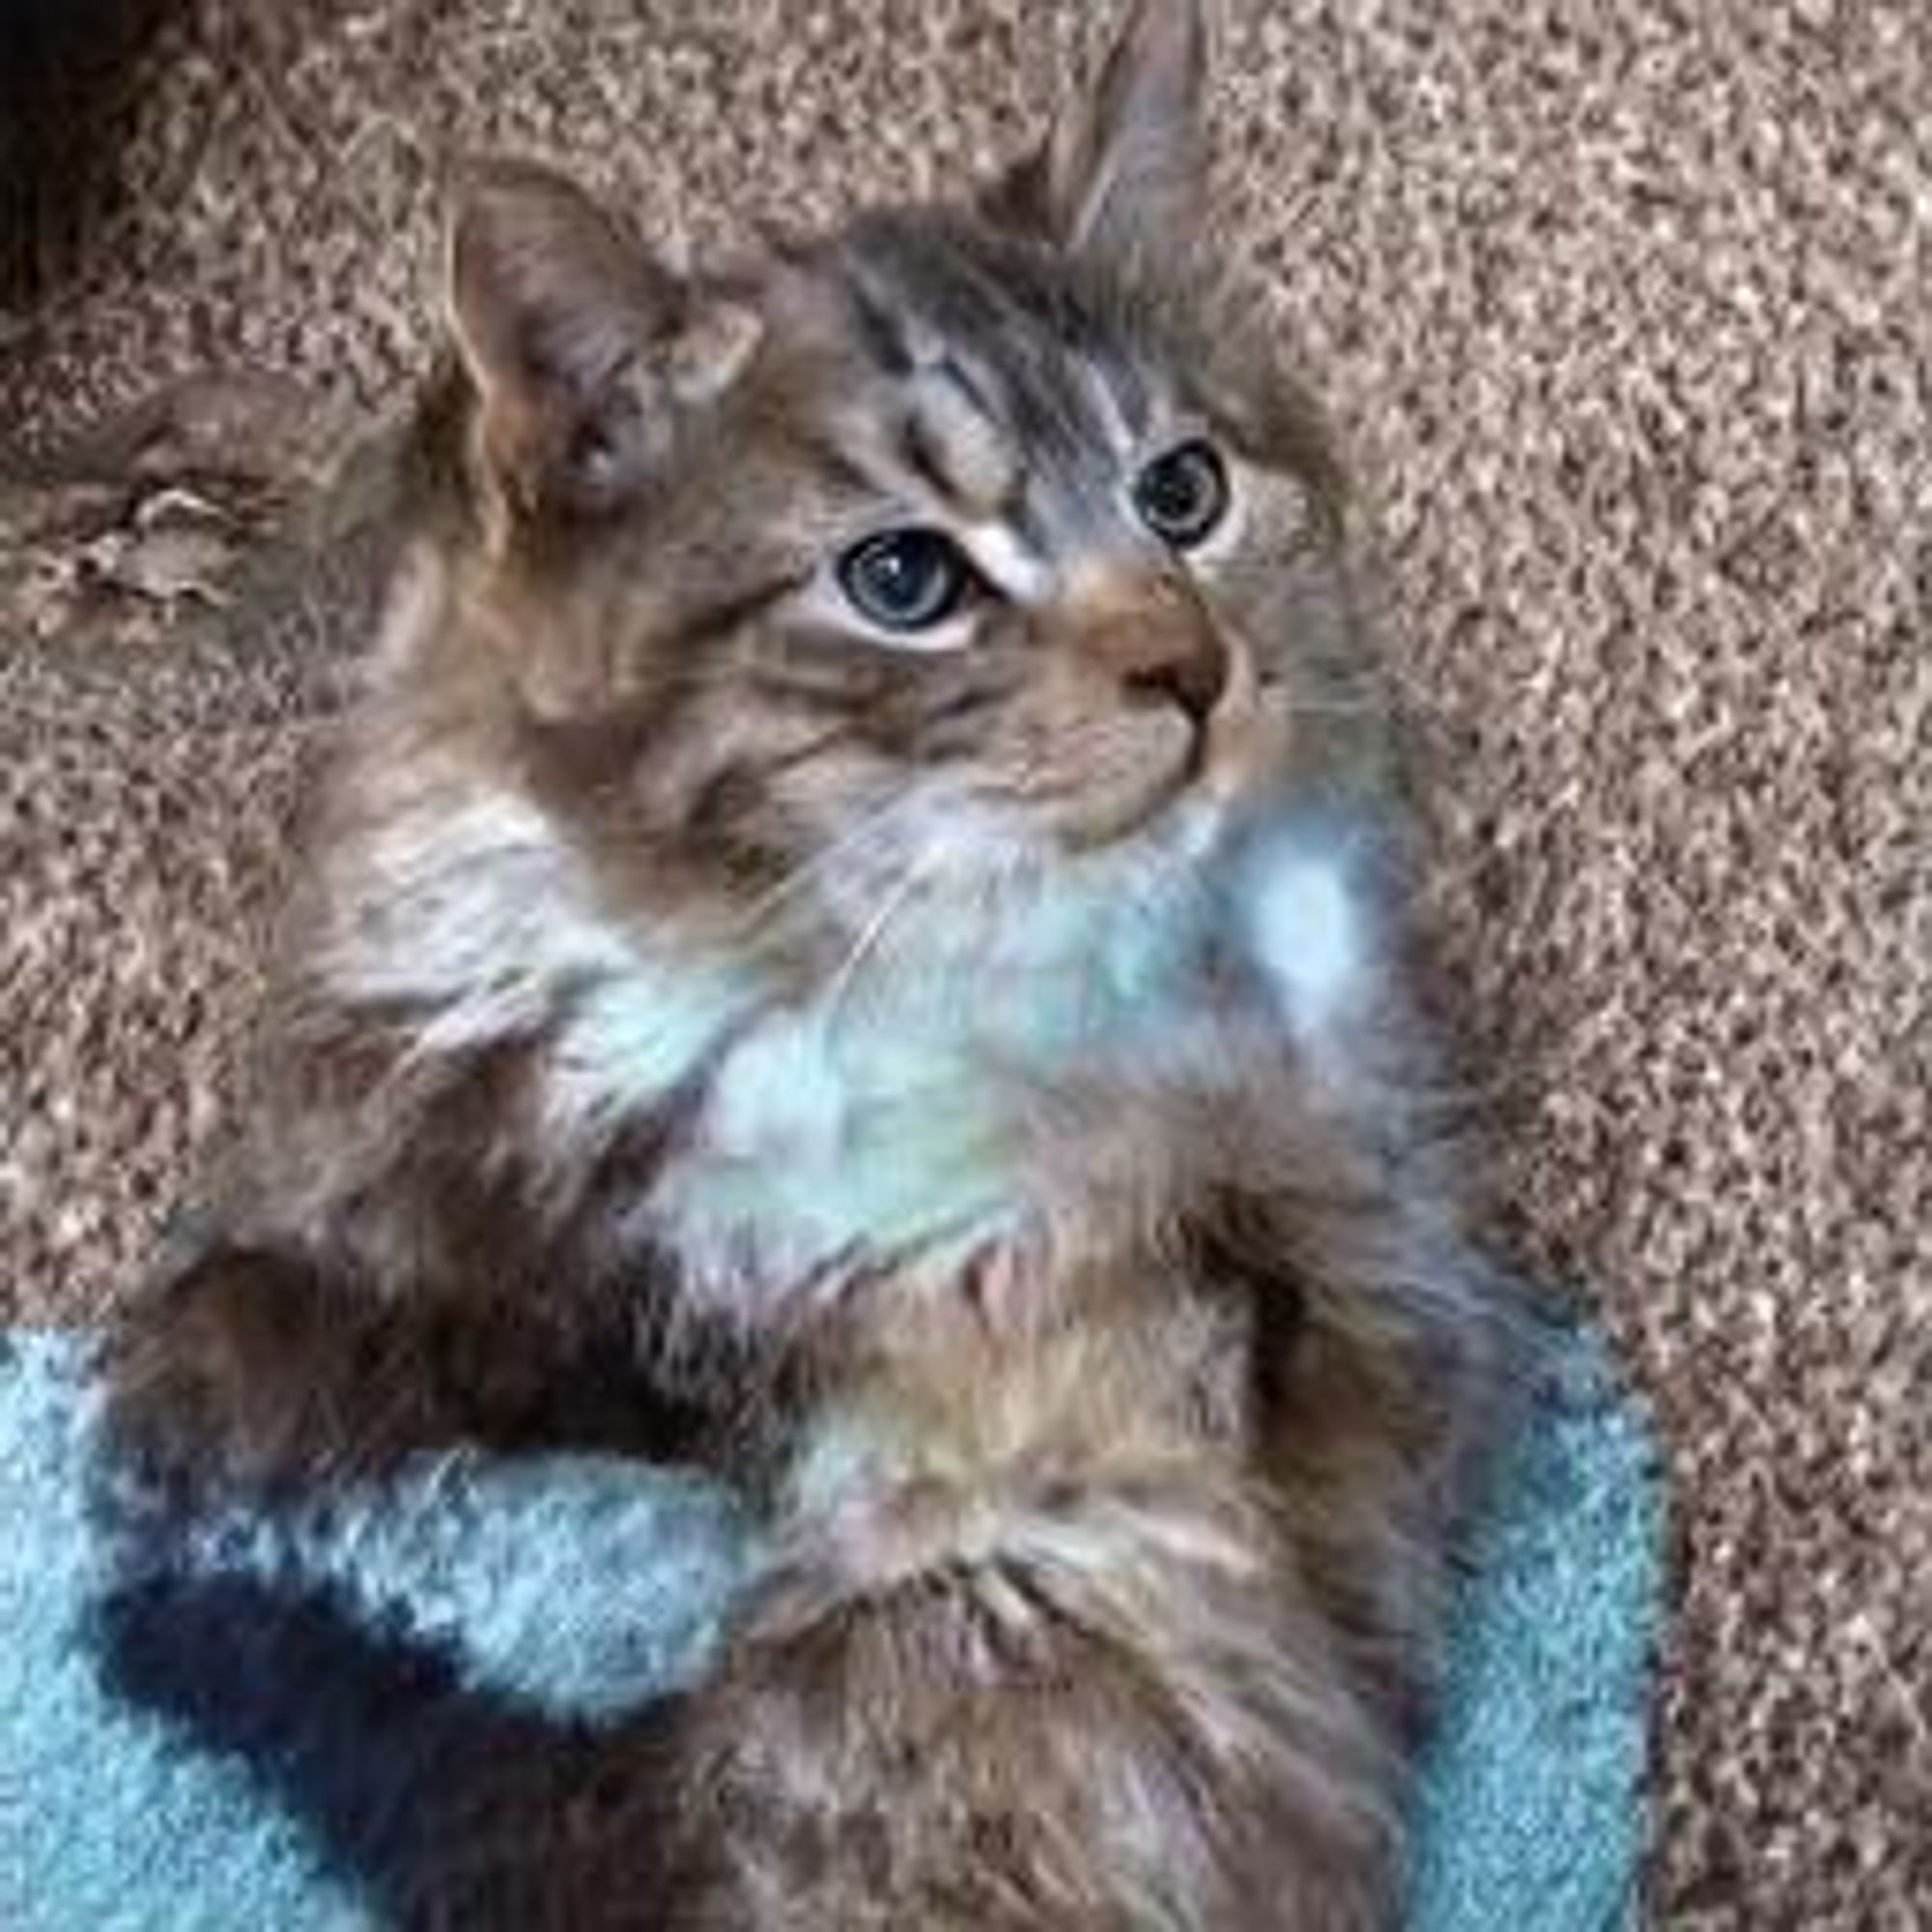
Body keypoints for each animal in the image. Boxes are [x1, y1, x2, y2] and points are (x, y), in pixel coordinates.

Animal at [105, 7, 1515, 1924]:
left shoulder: (1116, 1402)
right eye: (904, 577)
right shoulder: (385, 1151)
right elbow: (282, 1392)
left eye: (1185, 490)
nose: (1194, 666)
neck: (778, 971)